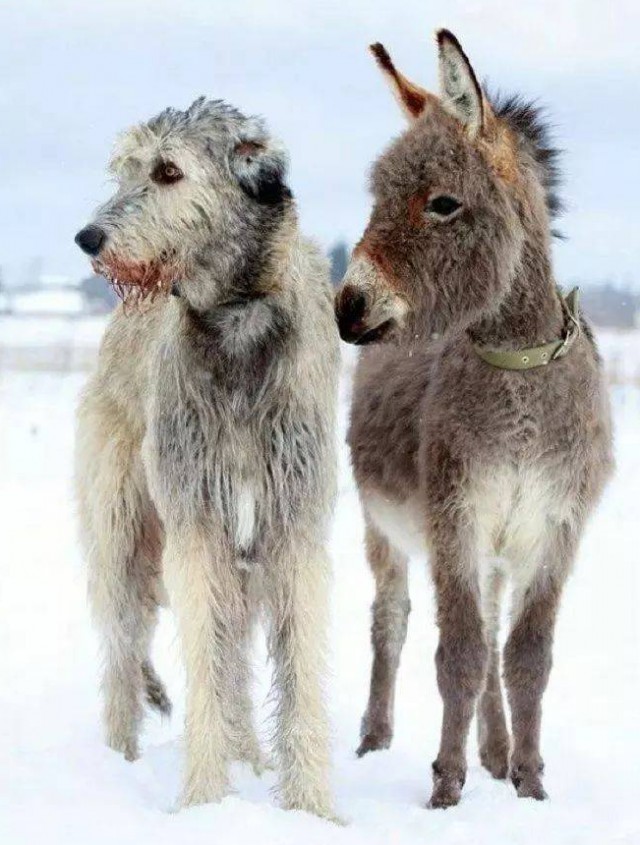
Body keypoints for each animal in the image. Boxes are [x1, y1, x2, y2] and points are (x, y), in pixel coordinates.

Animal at [75, 97, 340, 816]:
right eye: (125, 169)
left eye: (168, 170)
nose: (88, 239)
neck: (235, 317)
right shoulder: (195, 523)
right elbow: (204, 663)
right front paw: (203, 803)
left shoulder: (294, 525)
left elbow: (300, 669)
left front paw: (312, 808)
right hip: (122, 529)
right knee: (123, 651)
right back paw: (116, 760)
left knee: (236, 654)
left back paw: (249, 755)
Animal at [338, 33, 612, 808]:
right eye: (376, 196)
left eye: (442, 203)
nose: (347, 308)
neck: (518, 366)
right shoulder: (454, 519)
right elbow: (455, 652)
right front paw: (445, 789)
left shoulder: (554, 530)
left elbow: (525, 657)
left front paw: (529, 783)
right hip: (387, 529)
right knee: (391, 622)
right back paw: (376, 740)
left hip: (497, 544)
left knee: (492, 633)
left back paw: (496, 752)